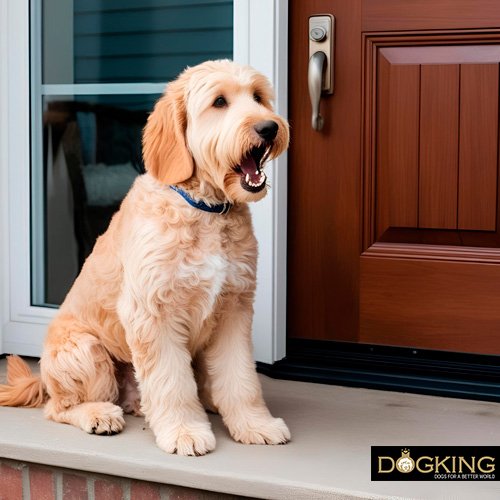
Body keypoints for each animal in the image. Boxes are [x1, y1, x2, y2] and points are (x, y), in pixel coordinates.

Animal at [0, 60, 290, 456]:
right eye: (219, 102)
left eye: (258, 97)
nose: (269, 127)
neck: (203, 209)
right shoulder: (153, 313)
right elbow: (172, 382)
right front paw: (184, 431)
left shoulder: (234, 309)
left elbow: (241, 378)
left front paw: (254, 424)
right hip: (84, 350)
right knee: (58, 408)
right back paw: (98, 414)